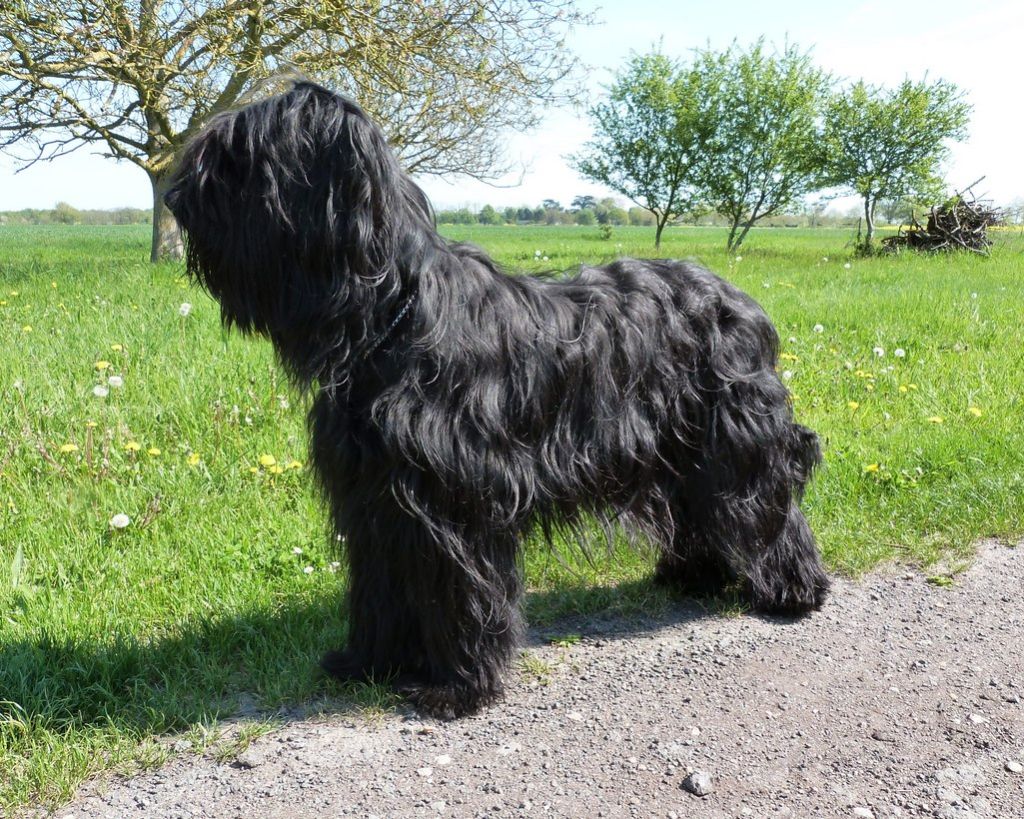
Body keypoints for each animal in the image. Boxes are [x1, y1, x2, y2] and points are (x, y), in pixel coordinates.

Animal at [164, 81, 829, 719]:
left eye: (241, 159)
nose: (173, 201)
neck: (396, 316)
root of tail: (743, 302)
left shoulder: (455, 500)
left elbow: (461, 593)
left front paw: (458, 688)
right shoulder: (375, 499)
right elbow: (380, 586)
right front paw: (369, 663)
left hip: (735, 441)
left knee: (768, 506)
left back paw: (795, 591)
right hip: (683, 451)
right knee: (700, 510)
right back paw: (693, 577)